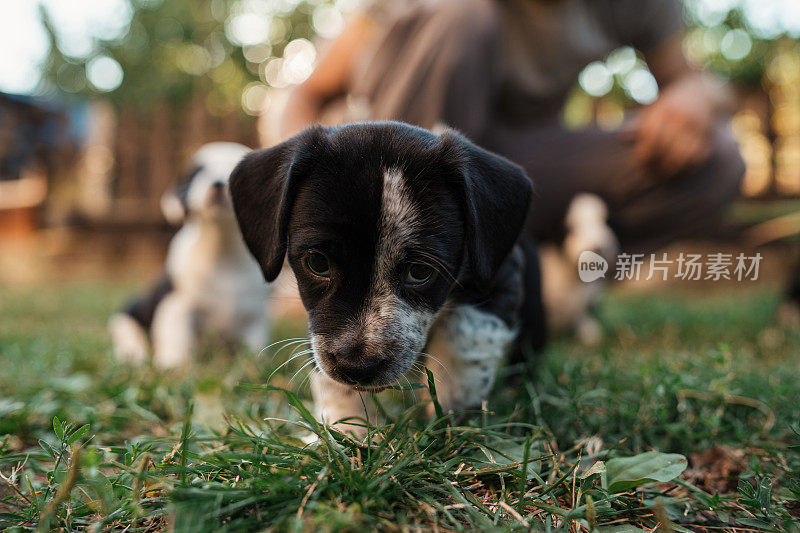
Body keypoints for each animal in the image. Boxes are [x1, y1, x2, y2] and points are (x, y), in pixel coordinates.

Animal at [109, 141, 274, 366]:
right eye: (199, 171)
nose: (217, 184)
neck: (224, 249)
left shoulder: (254, 316)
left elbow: (255, 344)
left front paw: (257, 363)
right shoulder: (176, 304)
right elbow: (176, 336)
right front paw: (173, 363)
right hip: (135, 310)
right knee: (125, 327)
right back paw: (133, 353)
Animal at [228, 122, 536, 434]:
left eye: (420, 272)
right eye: (318, 262)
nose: (356, 367)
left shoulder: (498, 278)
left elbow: (466, 334)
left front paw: (452, 414)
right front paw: (349, 431)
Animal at [536, 193, 620, 348]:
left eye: (606, 222)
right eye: (571, 228)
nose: (597, 248)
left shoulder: (588, 297)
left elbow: (584, 312)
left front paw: (590, 332)